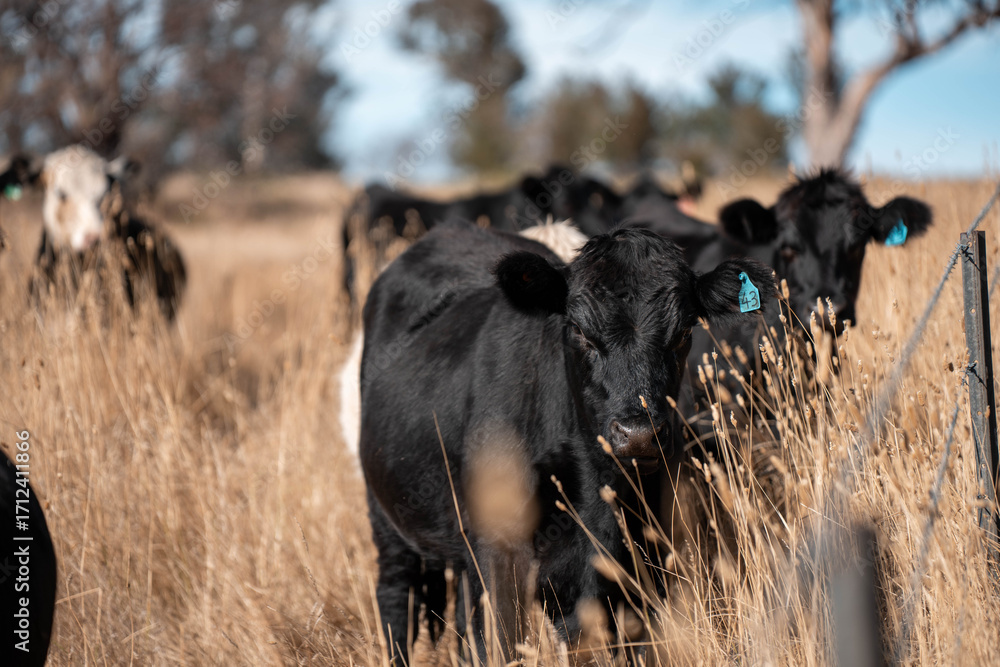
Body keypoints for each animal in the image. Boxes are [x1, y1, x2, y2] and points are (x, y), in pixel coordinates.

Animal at [358, 220, 774, 661]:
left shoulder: (642, 564)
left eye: (683, 332)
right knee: (396, 600)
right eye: (578, 331)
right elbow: (503, 643)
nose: (639, 434)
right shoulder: (501, 550)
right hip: (388, 519)